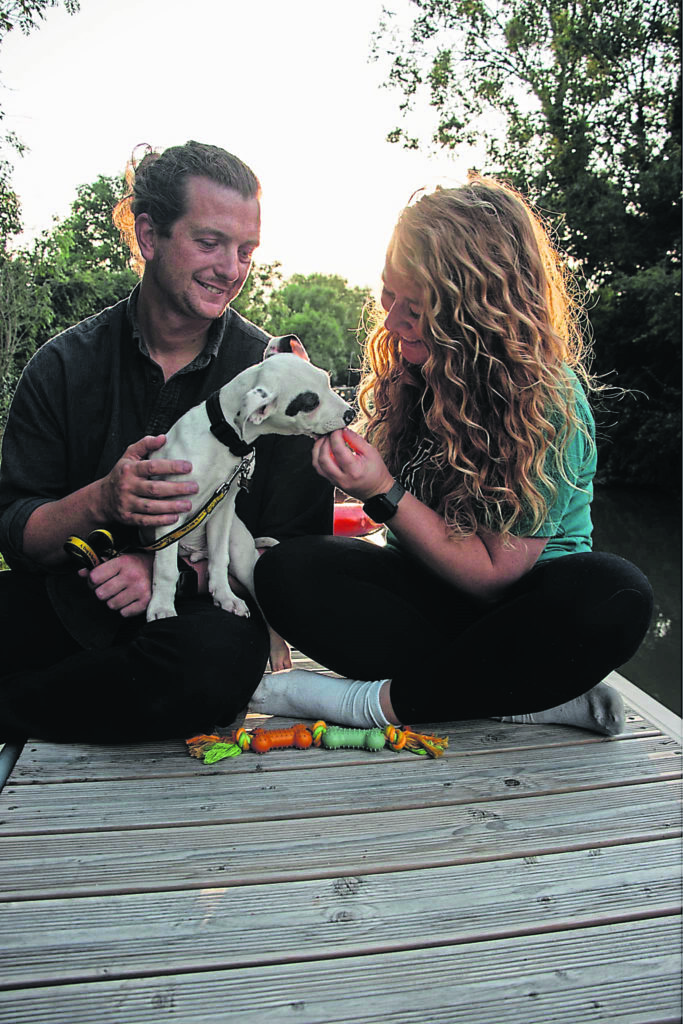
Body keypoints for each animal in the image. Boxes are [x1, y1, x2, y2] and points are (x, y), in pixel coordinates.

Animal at [146, 335, 356, 659]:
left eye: (327, 380)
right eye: (310, 402)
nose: (351, 414)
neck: (221, 437)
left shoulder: (221, 512)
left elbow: (219, 558)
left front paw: (224, 596)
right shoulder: (169, 508)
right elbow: (166, 568)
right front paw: (161, 607)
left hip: (244, 558)